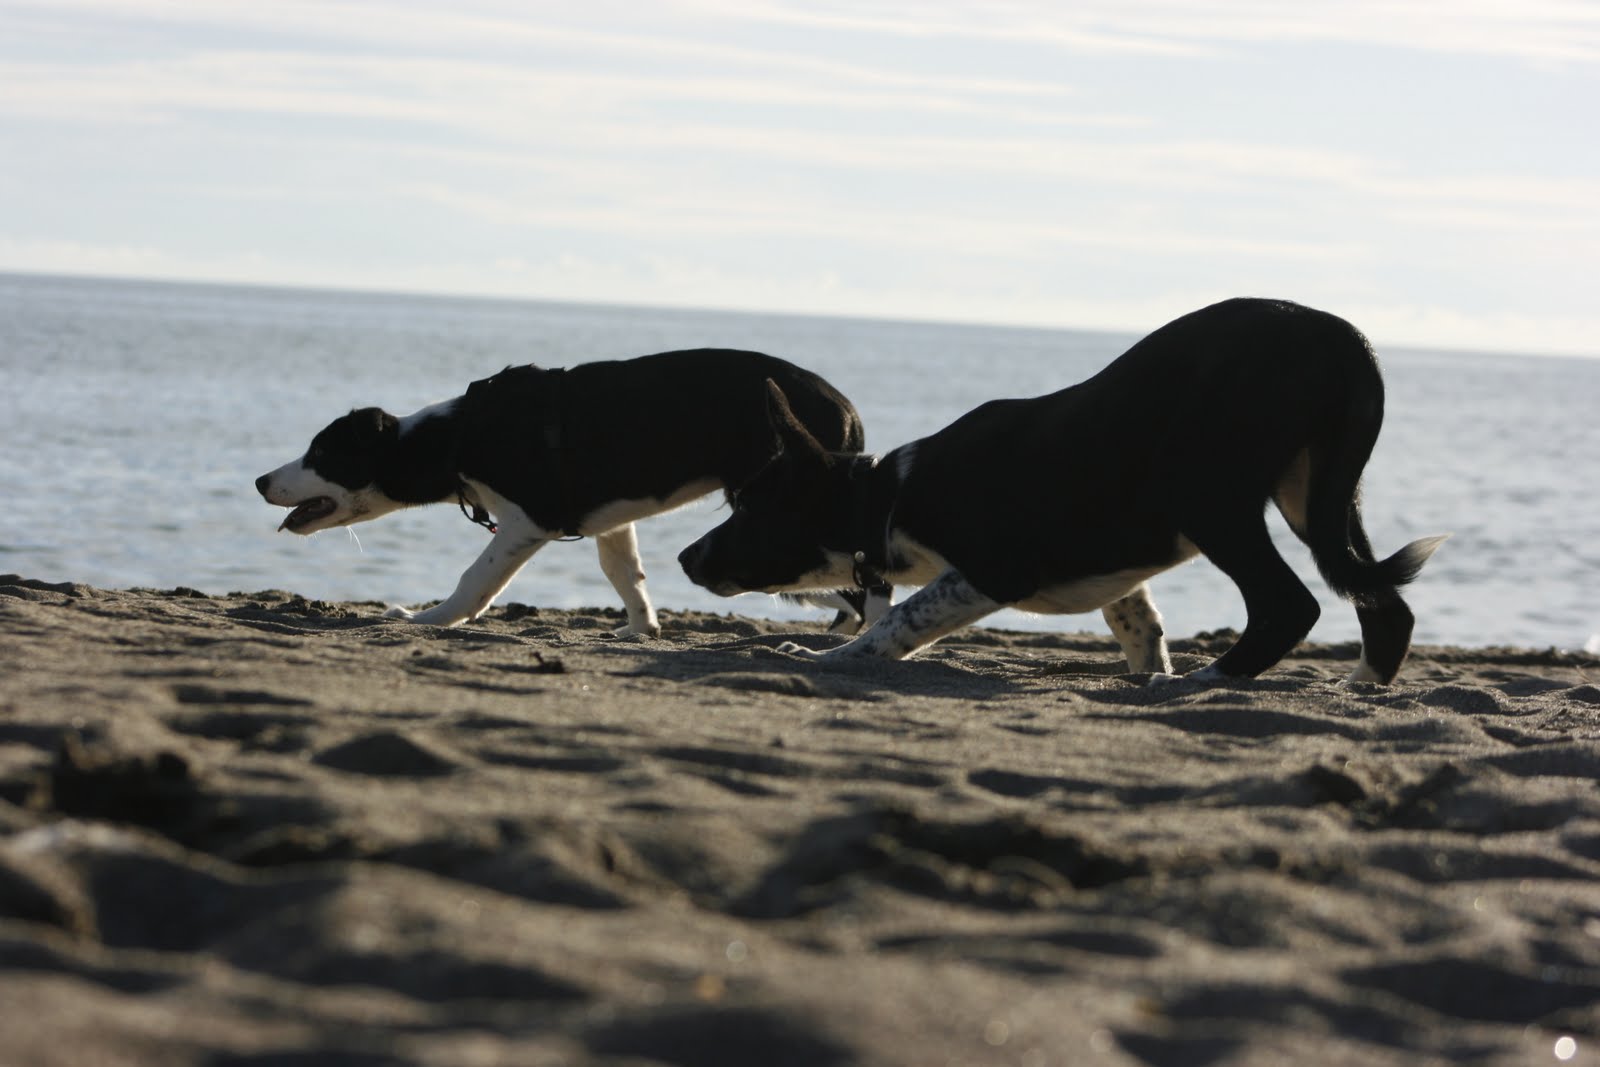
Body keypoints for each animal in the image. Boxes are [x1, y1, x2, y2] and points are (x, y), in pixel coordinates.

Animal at [262, 348, 889, 633]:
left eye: (321, 454)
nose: (260, 481)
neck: (458, 438)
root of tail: (847, 409)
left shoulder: (528, 521)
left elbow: (475, 578)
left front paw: (430, 619)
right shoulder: (610, 520)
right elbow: (625, 574)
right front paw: (641, 630)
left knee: (856, 591)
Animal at [675, 300, 1452, 684]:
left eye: (748, 509)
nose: (684, 558)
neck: (887, 498)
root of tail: (1341, 338)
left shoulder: (995, 570)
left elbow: (898, 622)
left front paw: (821, 659)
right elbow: (1139, 622)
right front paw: (1144, 666)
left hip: (1209, 493)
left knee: (1291, 604)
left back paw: (1206, 680)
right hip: (1316, 493)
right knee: (1383, 602)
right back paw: (1362, 686)